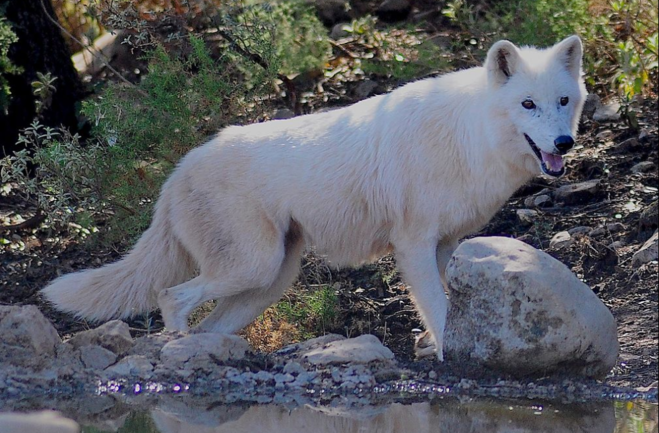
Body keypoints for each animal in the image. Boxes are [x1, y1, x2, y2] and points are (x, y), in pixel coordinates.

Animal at [42, 35, 588, 358]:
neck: (468, 136)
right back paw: (174, 346)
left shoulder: (446, 245)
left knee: (206, 322)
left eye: (564, 101)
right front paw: (447, 353)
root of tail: (176, 174)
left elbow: (447, 305)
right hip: (254, 267)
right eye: (527, 104)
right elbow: (437, 307)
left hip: (267, 281)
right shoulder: (413, 246)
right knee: (170, 296)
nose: (564, 143)